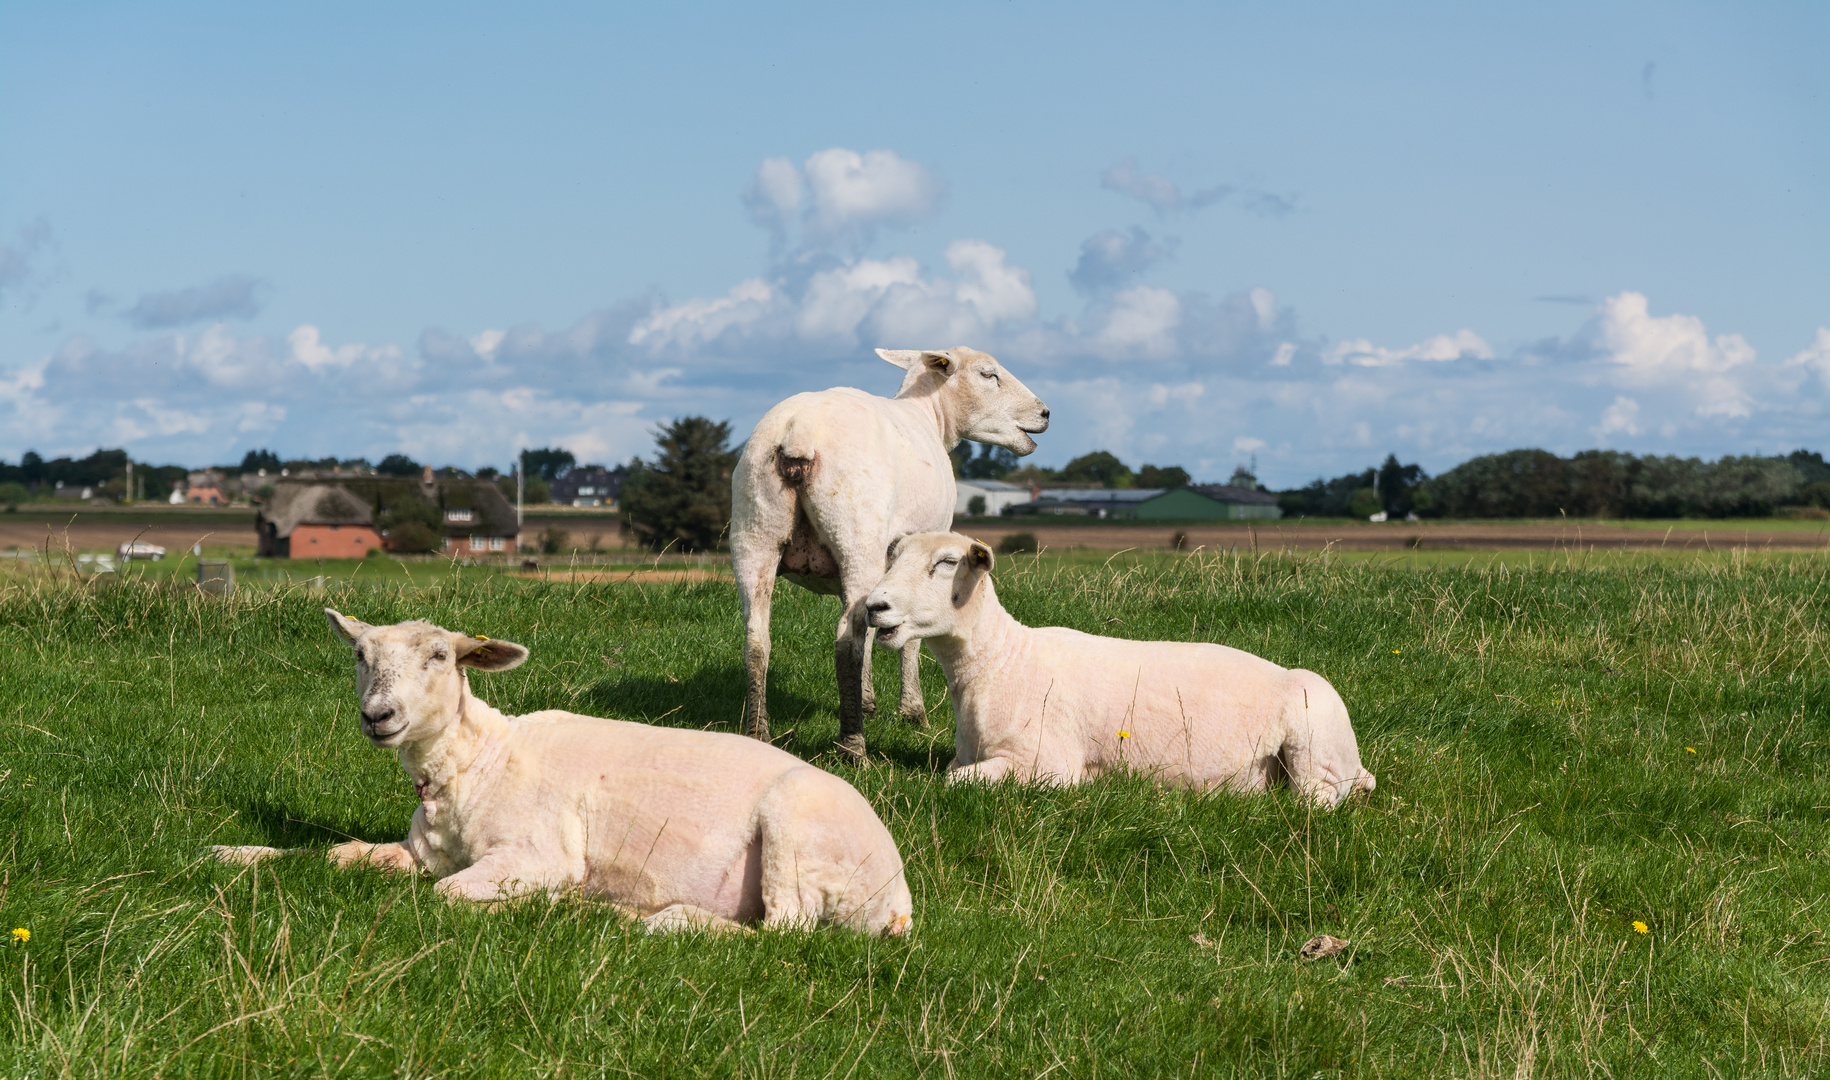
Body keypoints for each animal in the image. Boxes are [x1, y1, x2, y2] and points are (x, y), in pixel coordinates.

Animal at [210, 607, 911, 937]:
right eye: (360, 654)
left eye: (439, 656)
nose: (377, 715)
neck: (476, 761)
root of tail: (899, 902)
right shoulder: (422, 853)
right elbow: (333, 854)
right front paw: (231, 853)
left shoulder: (535, 852)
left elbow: (445, 896)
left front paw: (540, 905)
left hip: (797, 831)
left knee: (784, 927)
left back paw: (658, 920)